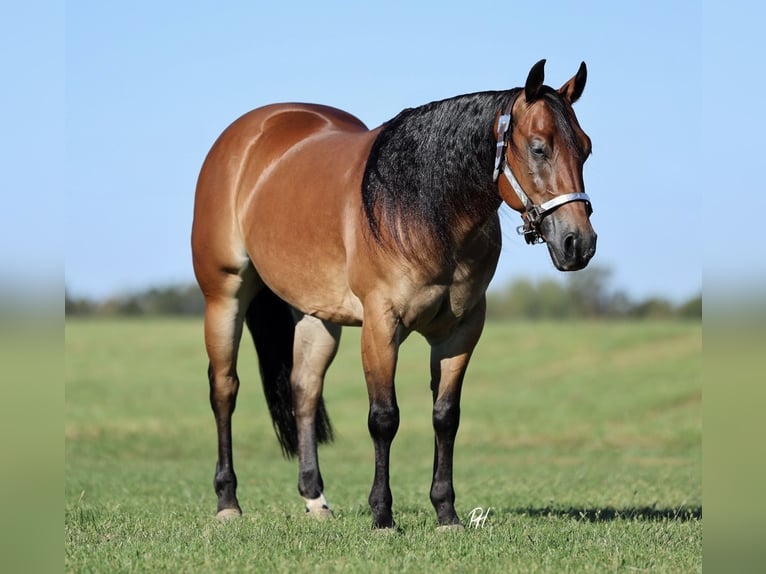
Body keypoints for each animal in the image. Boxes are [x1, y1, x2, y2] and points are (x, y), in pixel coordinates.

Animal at [191, 59, 596, 529]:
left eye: (585, 150)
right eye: (538, 148)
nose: (578, 244)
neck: (422, 209)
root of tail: (249, 132)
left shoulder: (461, 330)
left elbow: (446, 416)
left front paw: (446, 512)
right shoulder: (381, 324)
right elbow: (384, 417)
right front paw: (382, 515)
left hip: (319, 315)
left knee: (304, 390)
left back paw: (315, 499)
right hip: (224, 296)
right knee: (224, 389)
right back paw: (228, 502)